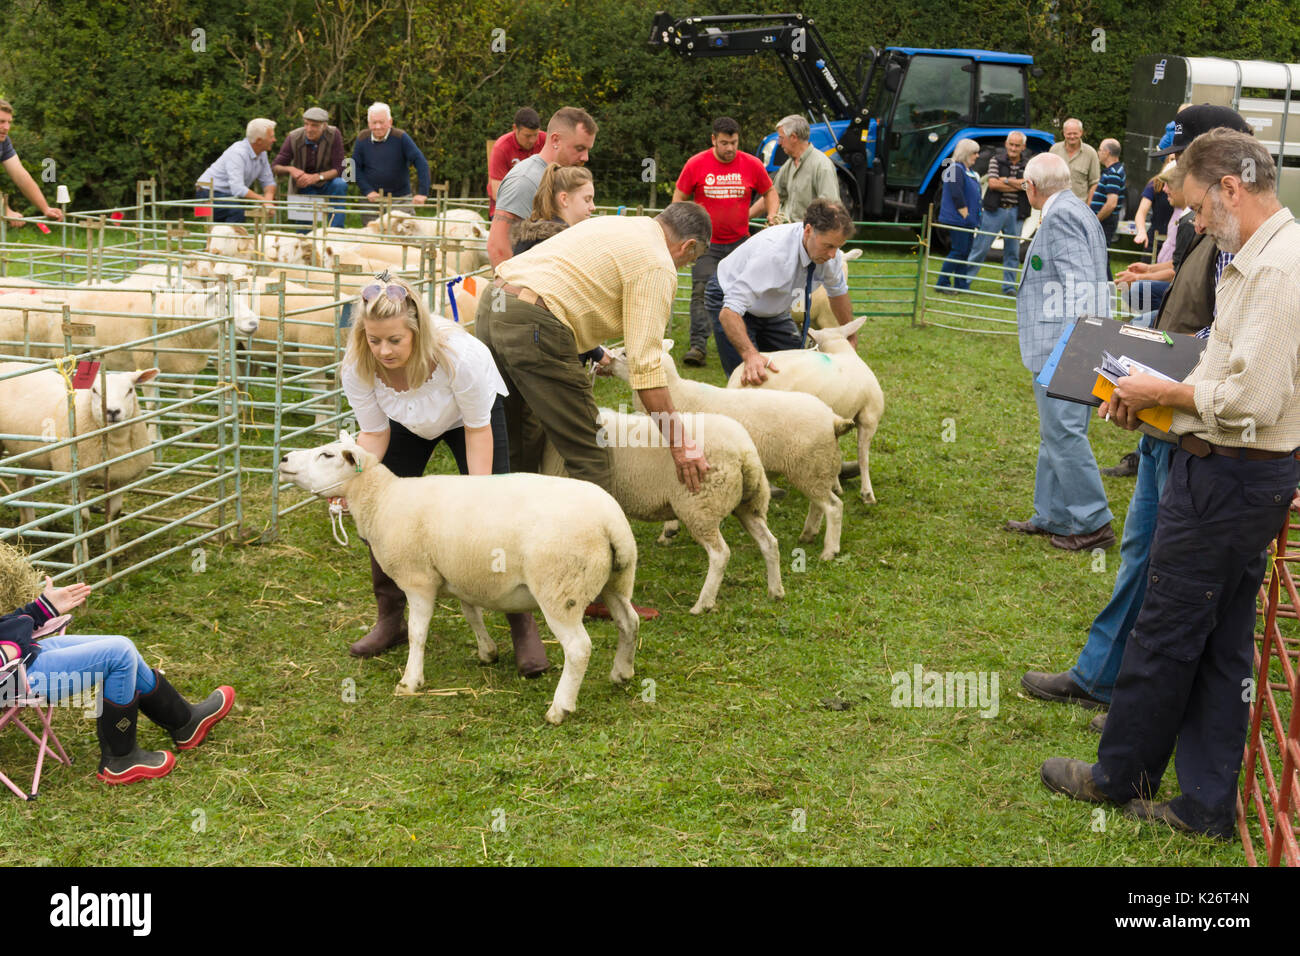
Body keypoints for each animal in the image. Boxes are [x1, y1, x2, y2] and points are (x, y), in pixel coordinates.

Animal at [0, 361, 159, 554]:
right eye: (95, 391)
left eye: (130, 390)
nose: (112, 411)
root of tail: (6, 364)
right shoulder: (75, 480)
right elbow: (83, 519)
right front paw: (82, 555)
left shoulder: (119, 478)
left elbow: (115, 513)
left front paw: (114, 550)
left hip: (29, 452)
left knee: (24, 481)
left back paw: (32, 526)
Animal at [279, 434, 639, 723]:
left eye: (327, 455)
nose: (283, 459)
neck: (381, 500)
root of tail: (611, 522)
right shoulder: (460, 573)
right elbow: (471, 612)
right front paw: (487, 651)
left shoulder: (418, 580)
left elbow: (417, 633)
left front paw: (410, 680)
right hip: (616, 581)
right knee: (629, 622)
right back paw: (622, 672)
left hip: (559, 589)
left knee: (578, 648)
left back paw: (560, 708)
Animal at [540, 405, 780, 613]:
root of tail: (745, 452)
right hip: (750, 504)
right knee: (769, 542)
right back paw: (775, 591)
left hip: (700, 506)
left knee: (720, 554)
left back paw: (702, 604)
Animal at [605, 343, 852, 561]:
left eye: (625, 353)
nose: (605, 360)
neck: (677, 392)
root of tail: (833, 419)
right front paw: (670, 530)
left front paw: (669, 530)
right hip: (815, 467)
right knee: (819, 504)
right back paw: (808, 534)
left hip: (808, 467)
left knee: (834, 507)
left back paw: (829, 550)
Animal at [728, 316, 889, 509]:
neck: (840, 350)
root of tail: (738, 381)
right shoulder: (869, 417)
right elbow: (863, 456)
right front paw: (867, 494)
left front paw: (836, 485)